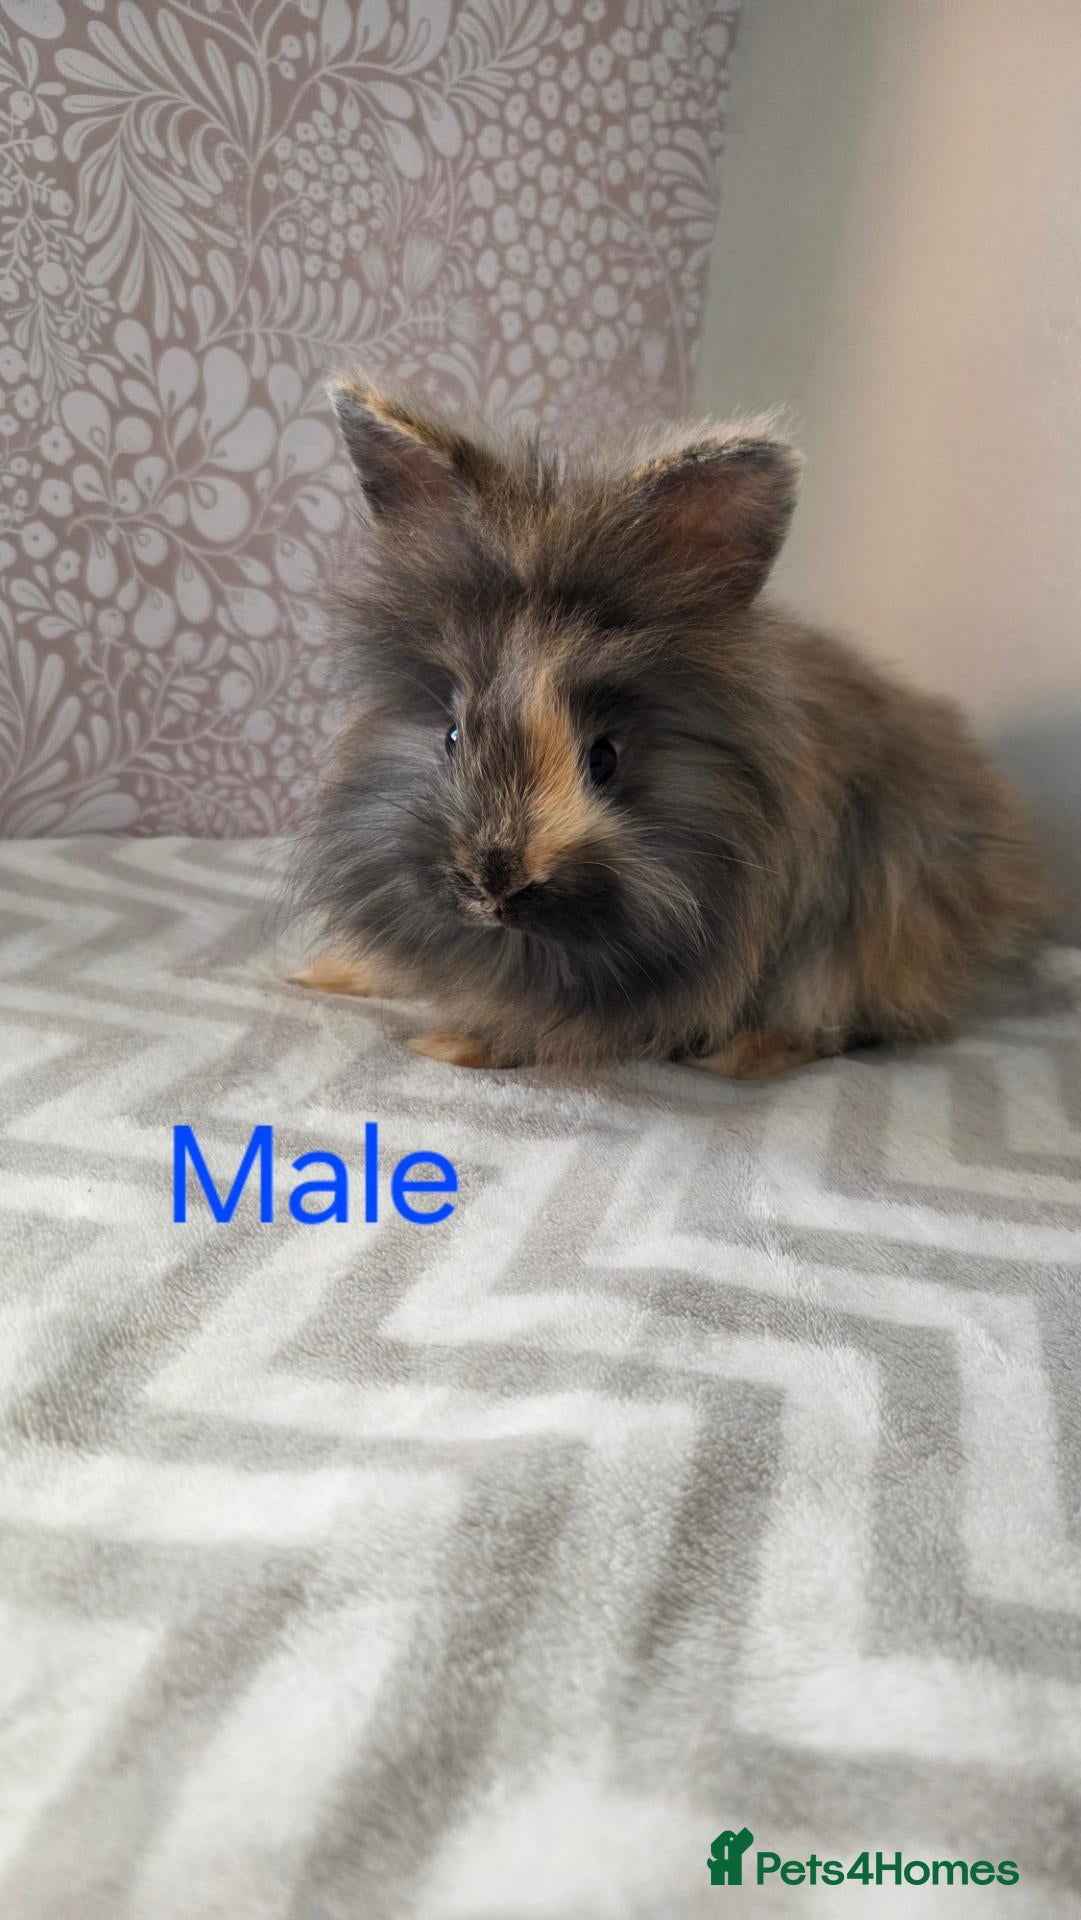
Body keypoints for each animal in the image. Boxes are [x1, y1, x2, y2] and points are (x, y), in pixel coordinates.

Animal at [290, 374, 1049, 1075]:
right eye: (450, 736)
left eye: (604, 757)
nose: (494, 881)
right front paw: (324, 972)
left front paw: (457, 1043)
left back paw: (747, 1053)